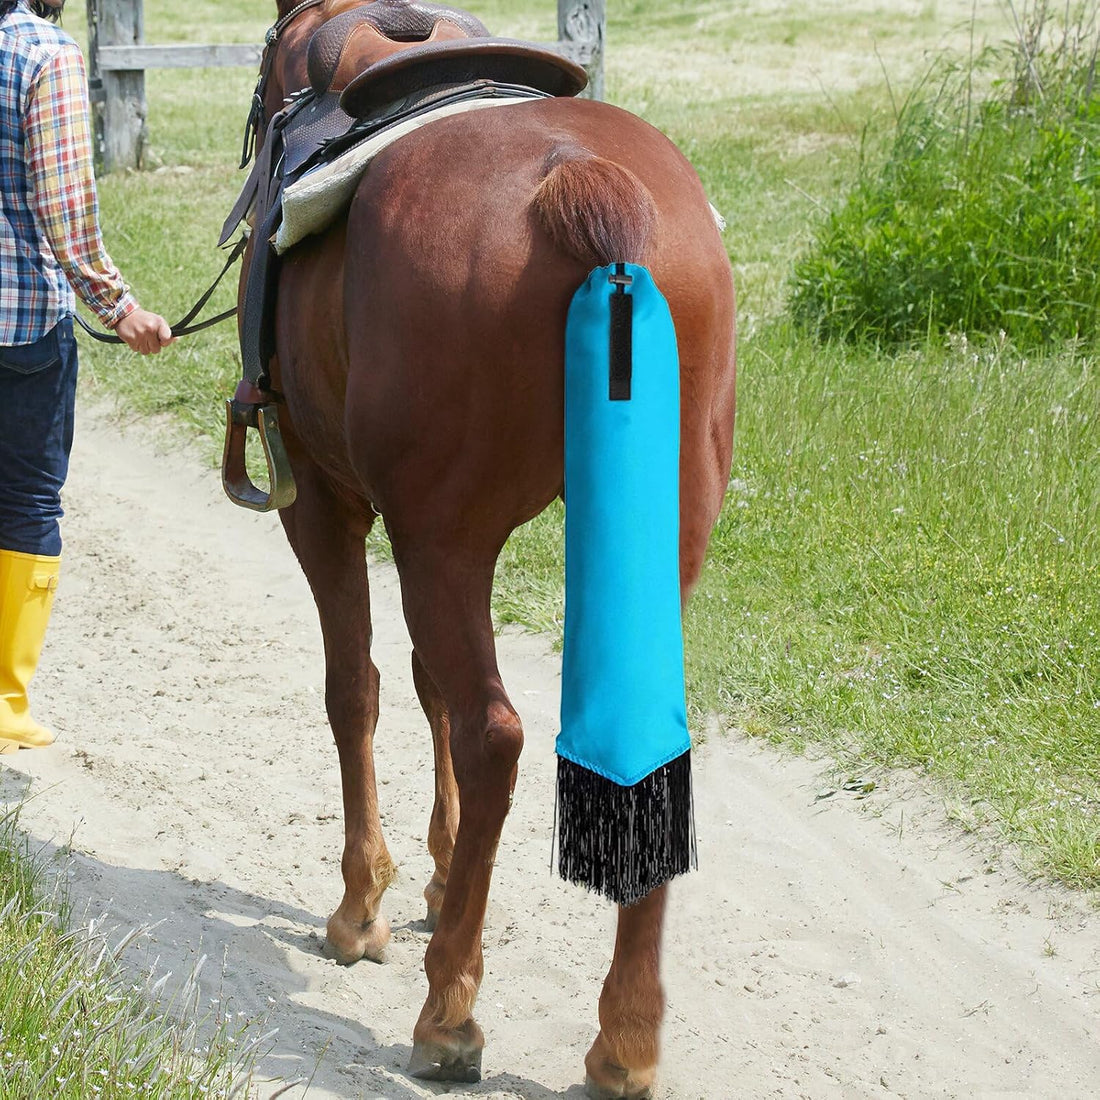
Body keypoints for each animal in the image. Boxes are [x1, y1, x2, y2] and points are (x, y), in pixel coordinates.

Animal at [237, 2, 736, 1095]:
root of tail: (586, 187)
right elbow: (423, 686)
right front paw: (438, 869)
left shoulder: (330, 506)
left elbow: (358, 688)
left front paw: (366, 905)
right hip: (646, 546)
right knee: (641, 745)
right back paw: (624, 1038)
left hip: (436, 542)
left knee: (492, 731)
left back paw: (447, 1012)